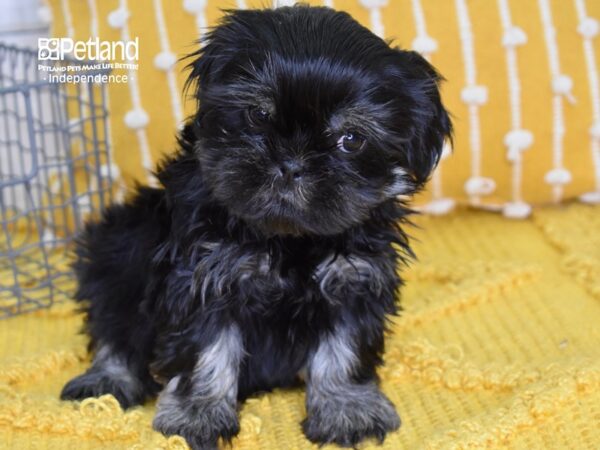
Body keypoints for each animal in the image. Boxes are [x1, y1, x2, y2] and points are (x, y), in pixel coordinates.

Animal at [61, 4, 450, 450]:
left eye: (351, 139)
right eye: (258, 115)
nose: (291, 163)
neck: (289, 239)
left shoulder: (354, 279)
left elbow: (344, 349)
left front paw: (347, 409)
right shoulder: (203, 279)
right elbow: (205, 351)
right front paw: (198, 414)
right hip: (117, 246)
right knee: (115, 324)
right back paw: (108, 381)